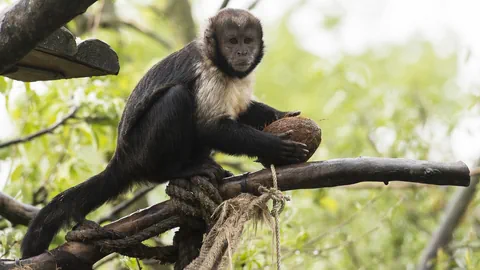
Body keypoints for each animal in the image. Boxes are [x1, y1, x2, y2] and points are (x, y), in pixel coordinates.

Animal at [20, 7, 308, 258]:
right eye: (232, 41)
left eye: (248, 41)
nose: (241, 51)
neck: (220, 64)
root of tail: (121, 158)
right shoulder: (208, 73)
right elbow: (210, 127)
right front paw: (275, 146)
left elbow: (243, 111)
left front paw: (283, 116)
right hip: (142, 150)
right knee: (177, 97)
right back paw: (179, 170)